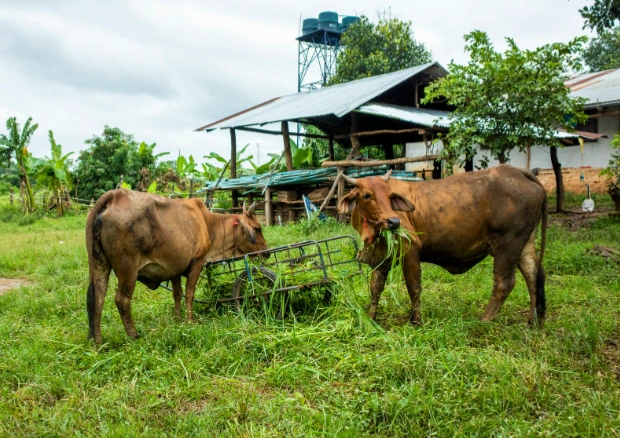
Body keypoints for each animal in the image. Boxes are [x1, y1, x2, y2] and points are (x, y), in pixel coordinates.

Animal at [85, 190, 266, 344]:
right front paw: (190, 321)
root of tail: (114, 196)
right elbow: (189, 294)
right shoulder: (196, 262)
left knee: (97, 298)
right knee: (121, 299)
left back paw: (98, 341)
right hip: (128, 269)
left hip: (99, 264)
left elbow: (177, 294)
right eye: (257, 228)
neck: (207, 223)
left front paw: (178, 320)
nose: (266, 252)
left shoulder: (174, 269)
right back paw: (133, 335)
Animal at [340, 164, 548, 326]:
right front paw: (370, 318)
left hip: (507, 246)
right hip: (524, 244)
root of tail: (519, 172)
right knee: (533, 274)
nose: (393, 221)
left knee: (504, 282)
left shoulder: (411, 250)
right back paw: (532, 321)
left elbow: (414, 287)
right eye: (367, 195)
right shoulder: (383, 257)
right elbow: (375, 287)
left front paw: (415, 321)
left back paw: (484, 320)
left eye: (390, 196)